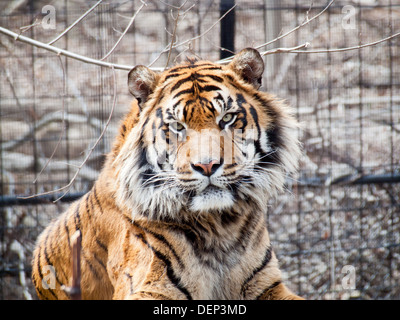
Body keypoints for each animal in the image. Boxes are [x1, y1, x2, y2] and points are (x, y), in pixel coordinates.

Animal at [31, 48, 304, 300]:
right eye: (176, 126)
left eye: (227, 118)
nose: (207, 166)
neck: (220, 226)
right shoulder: (149, 285)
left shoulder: (267, 285)